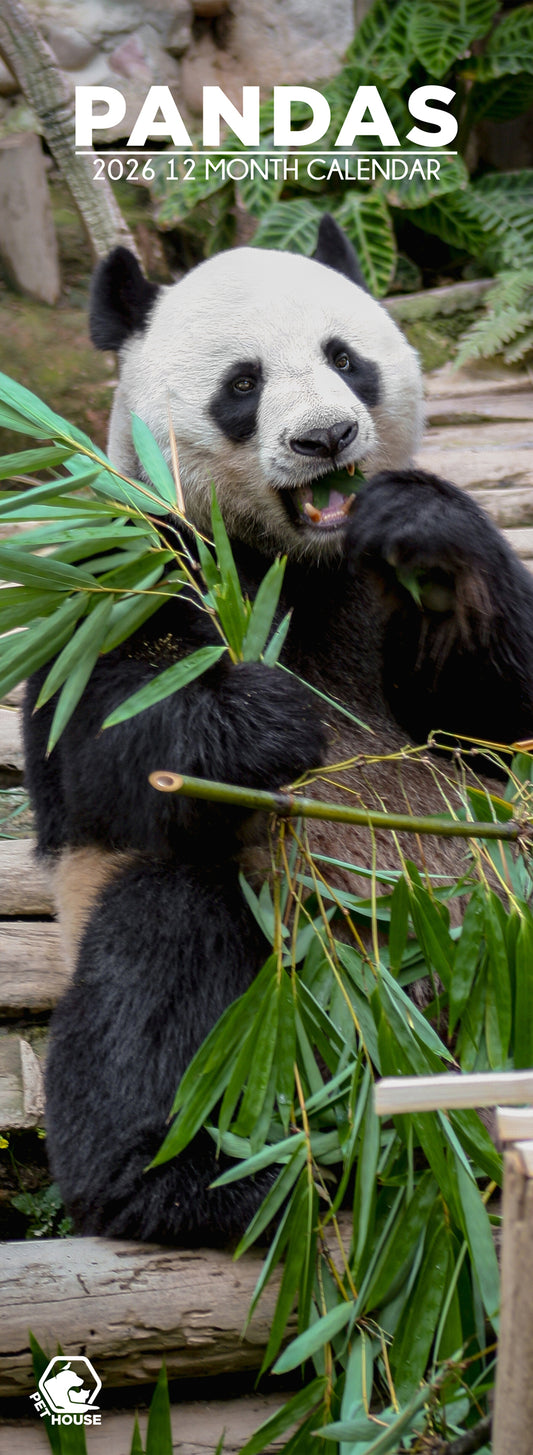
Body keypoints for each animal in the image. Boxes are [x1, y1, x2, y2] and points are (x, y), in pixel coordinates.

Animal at [23, 215, 533, 1243]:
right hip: (263, 981)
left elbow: (502, 717)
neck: (297, 559)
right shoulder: (122, 568)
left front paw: (430, 532)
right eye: (242, 383)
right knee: (161, 949)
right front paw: (261, 722)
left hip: (501, 937)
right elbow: (94, 740)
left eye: (345, 358)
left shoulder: (380, 591)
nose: (325, 437)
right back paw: (179, 1179)